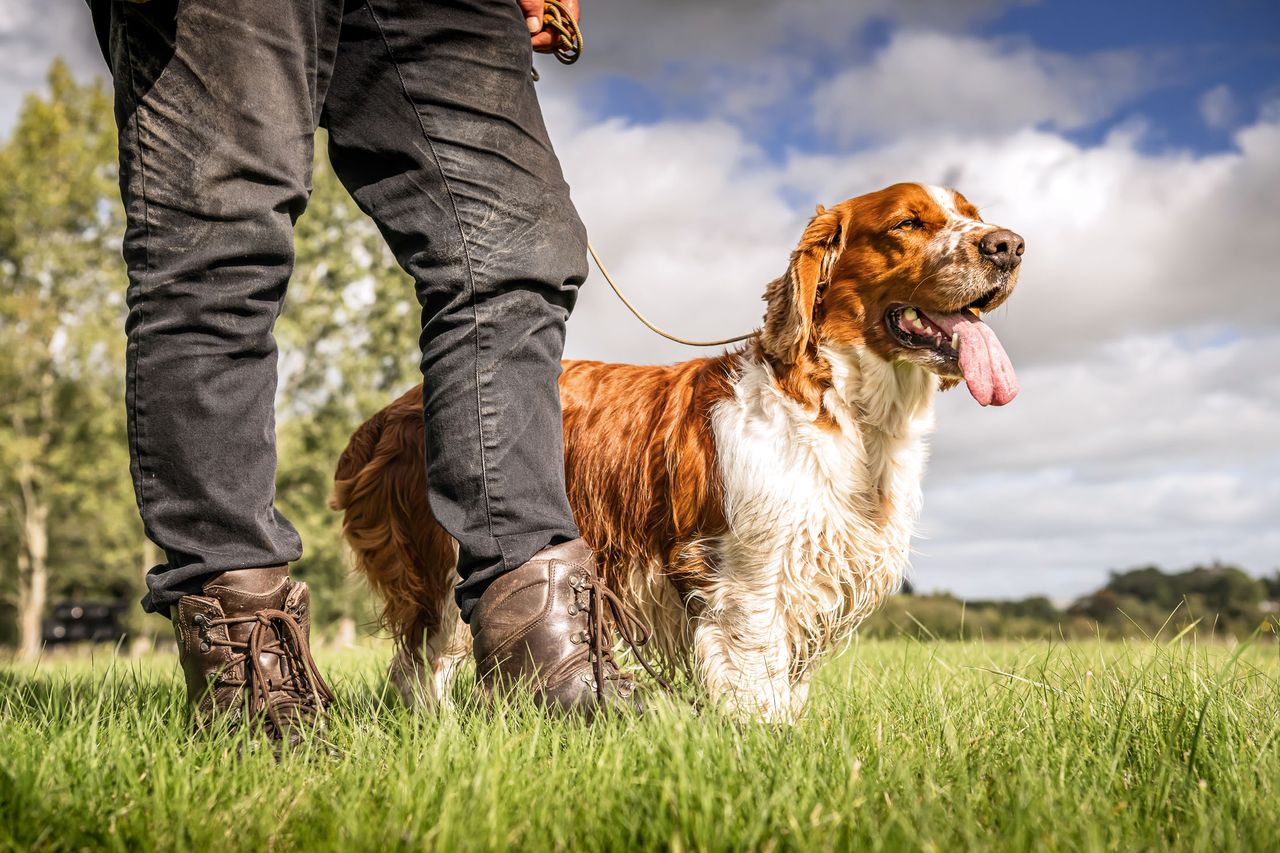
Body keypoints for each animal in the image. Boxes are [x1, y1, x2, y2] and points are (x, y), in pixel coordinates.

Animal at [330, 183, 1018, 722]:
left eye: (972, 213)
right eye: (907, 223)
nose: (1009, 246)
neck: (838, 409)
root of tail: (392, 410)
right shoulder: (750, 577)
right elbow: (757, 685)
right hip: (439, 568)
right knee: (420, 668)